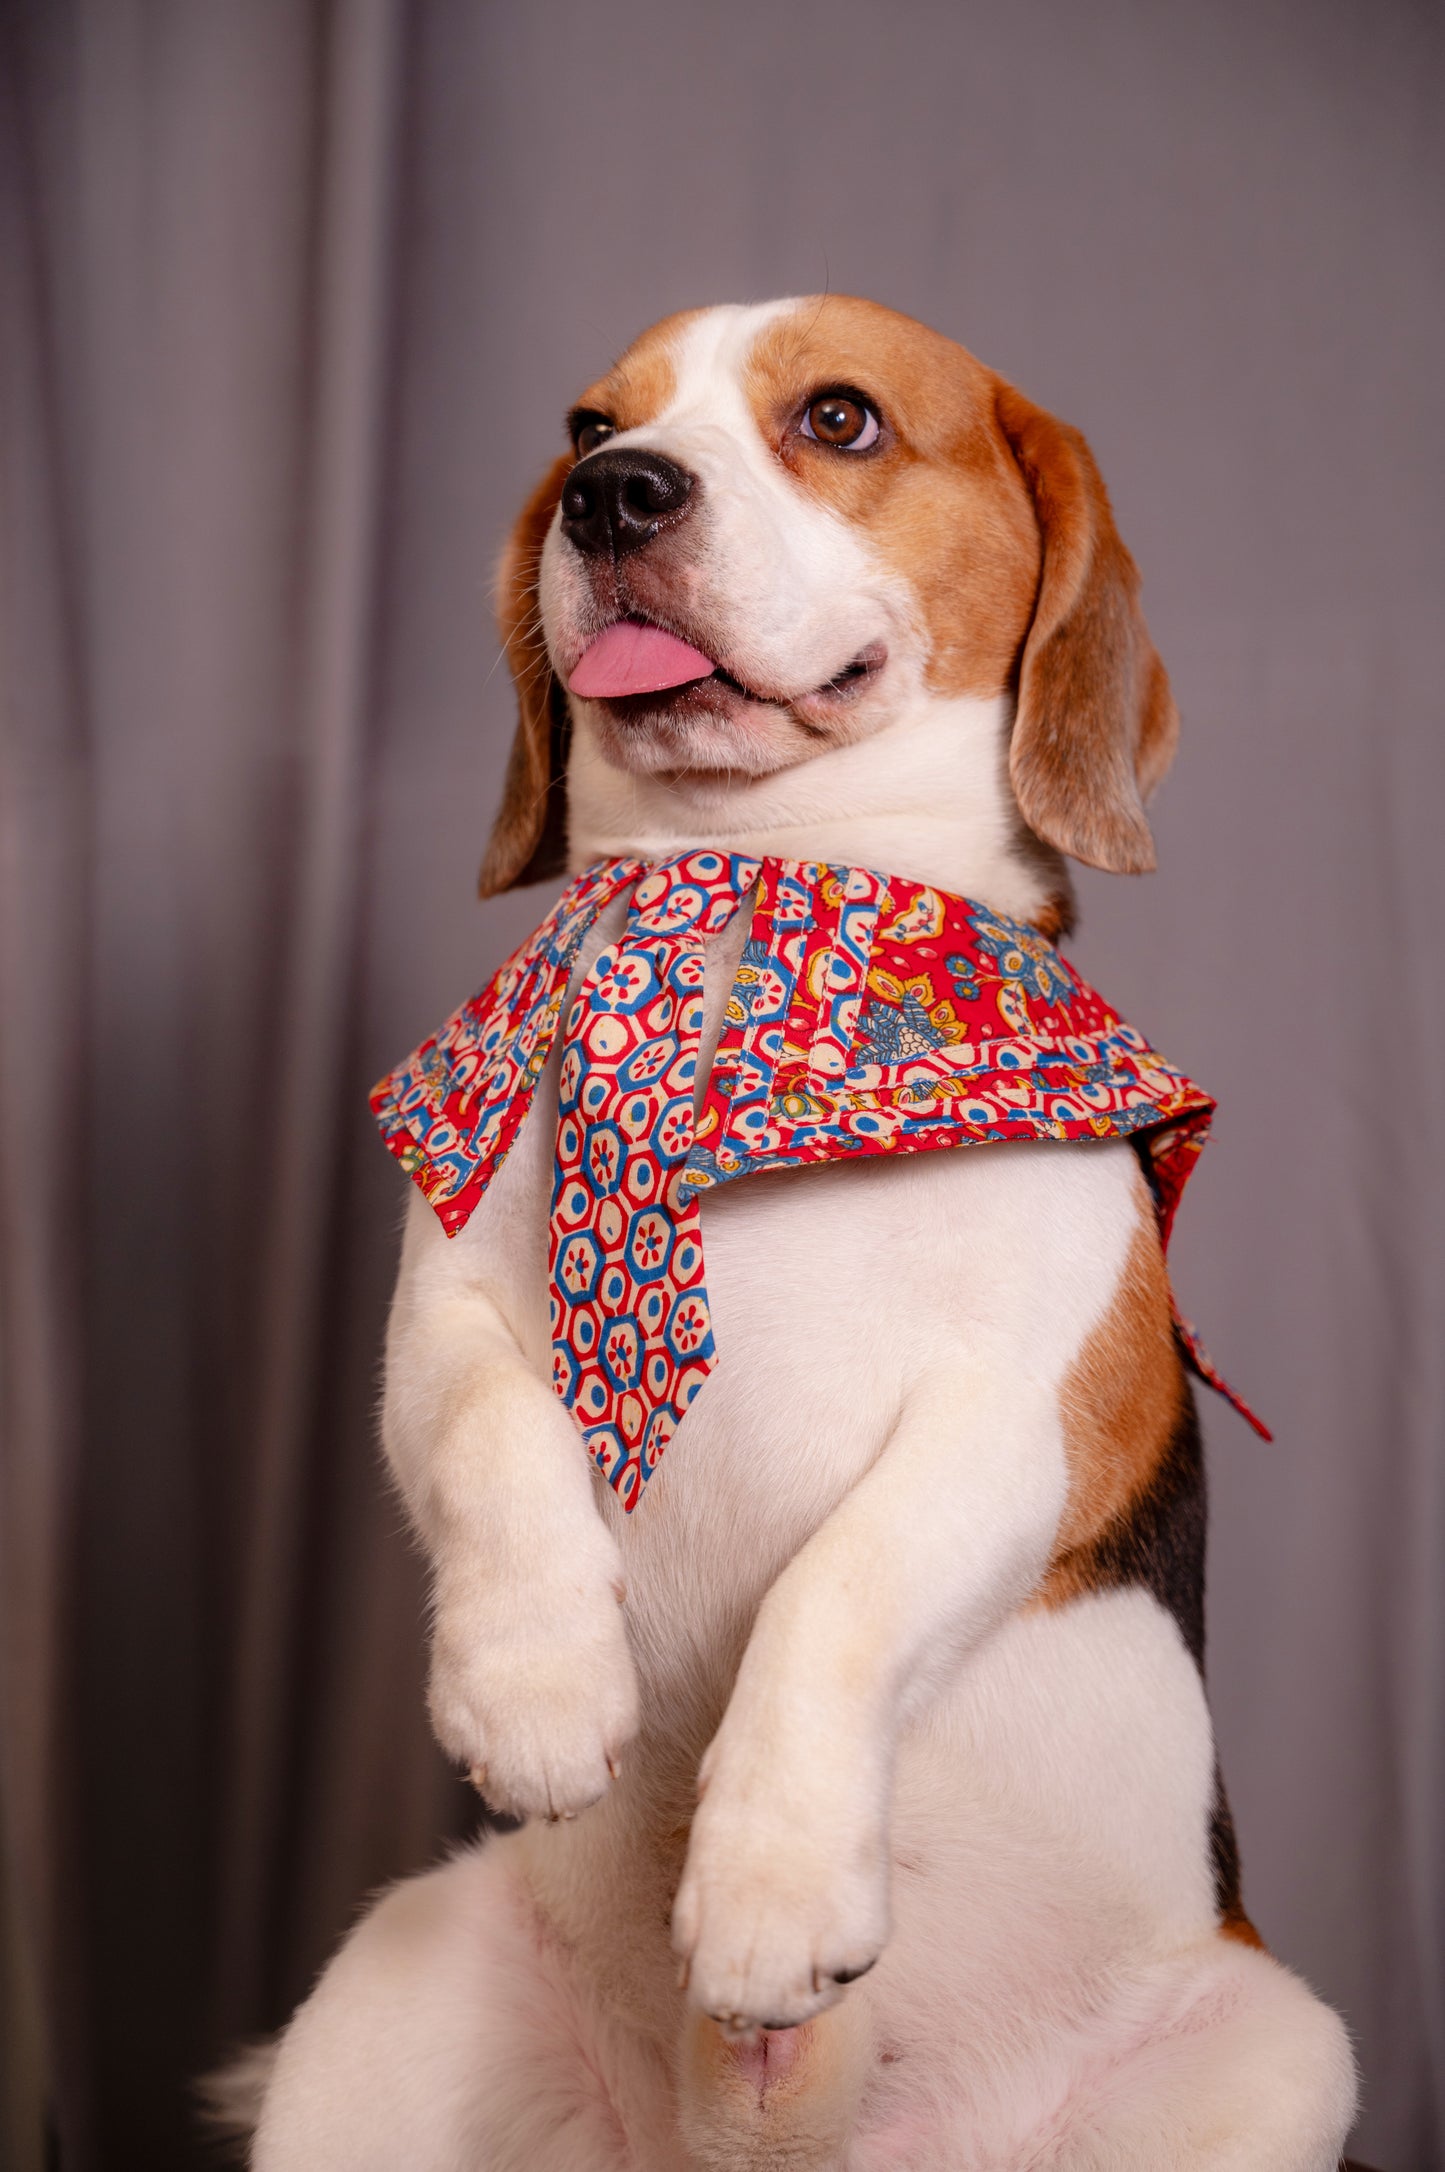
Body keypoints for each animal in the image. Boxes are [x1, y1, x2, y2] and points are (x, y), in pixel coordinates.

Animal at [247, 297, 1355, 2163]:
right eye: (588, 424)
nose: (614, 494)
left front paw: (770, 1885)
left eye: (839, 419)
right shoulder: (437, 1320)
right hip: (385, 1990)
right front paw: (535, 1684)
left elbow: (838, 1587)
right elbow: (488, 1431)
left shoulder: (1034, 1416)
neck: (755, 881)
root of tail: (760, 2135)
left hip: (1282, 2052)